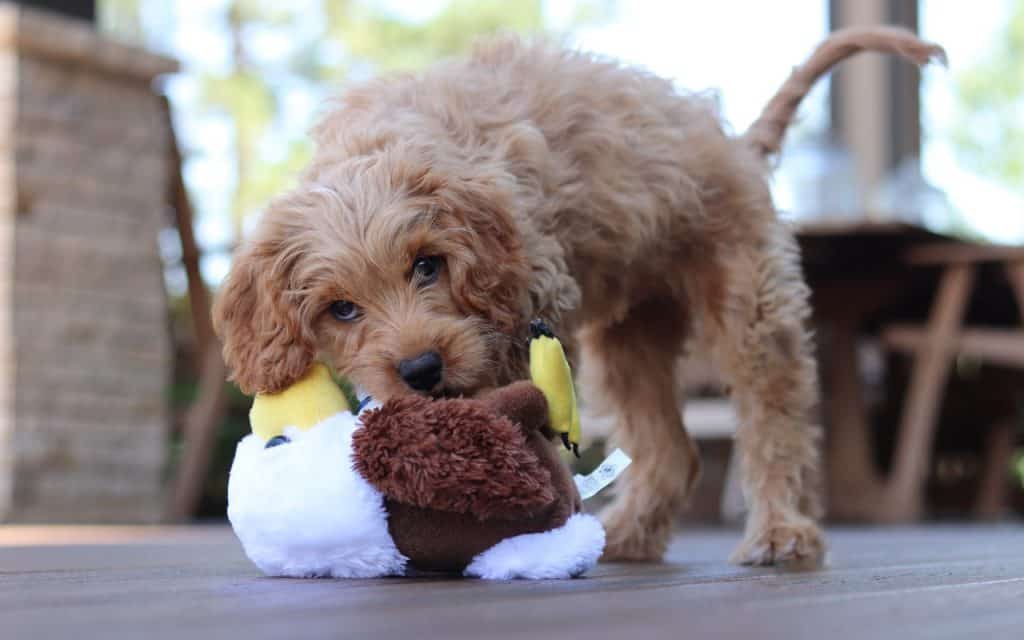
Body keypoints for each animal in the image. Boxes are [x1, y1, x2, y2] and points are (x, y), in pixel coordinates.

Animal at [214, 26, 942, 565]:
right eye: (341, 308)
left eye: (427, 266)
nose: (421, 370)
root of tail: (734, 143)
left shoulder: (527, 309)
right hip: (630, 342)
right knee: (672, 452)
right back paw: (629, 535)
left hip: (751, 308)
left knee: (775, 422)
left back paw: (781, 531)